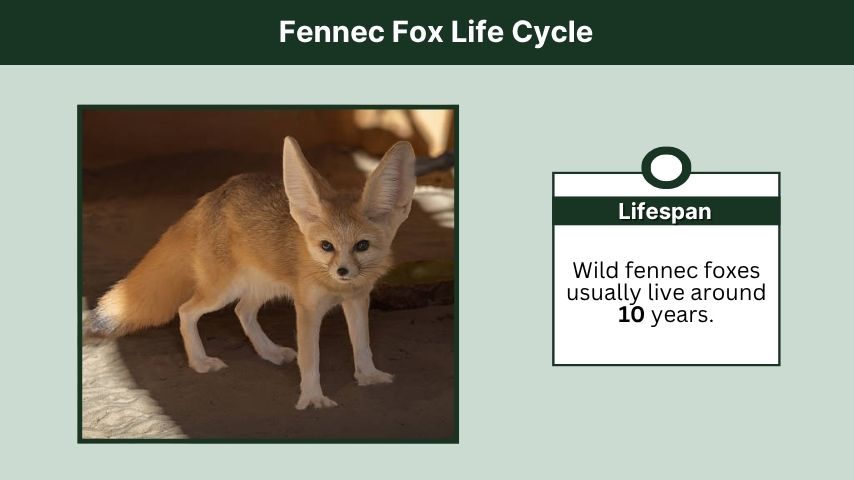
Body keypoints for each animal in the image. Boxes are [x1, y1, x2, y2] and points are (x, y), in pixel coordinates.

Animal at [88, 137, 416, 410]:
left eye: (362, 246)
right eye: (326, 246)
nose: (343, 270)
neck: (337, 288)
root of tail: (213, 195)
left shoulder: (358, 299)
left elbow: (362, 345)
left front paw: (369, 376)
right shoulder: (307, 309)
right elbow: (311, 359)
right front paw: (312, 398)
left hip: (265, 288)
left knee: (242, 311)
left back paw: (270, 352)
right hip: (222, 292)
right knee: (186, 311)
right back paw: (200, 362)